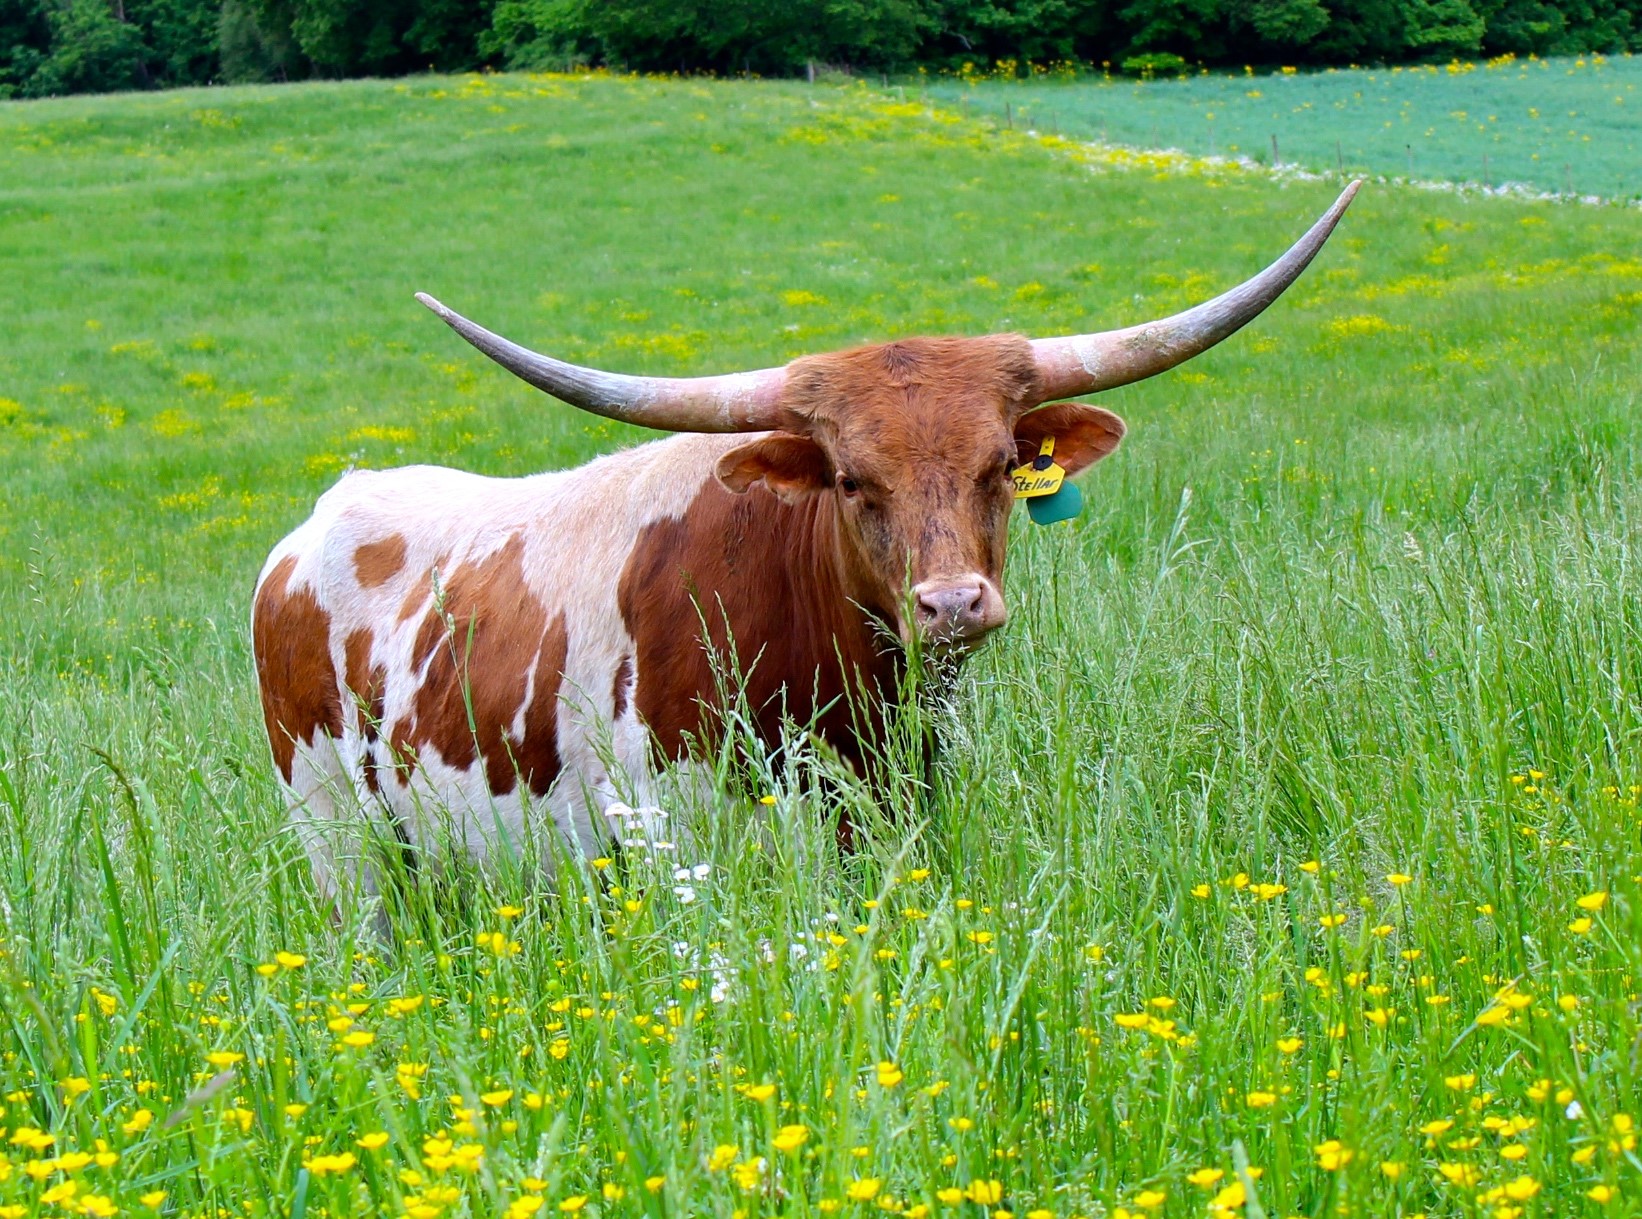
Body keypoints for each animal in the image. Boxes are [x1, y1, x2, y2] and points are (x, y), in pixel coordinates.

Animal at [253, 183, 1359, 910]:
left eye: (1002, 462)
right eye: (850, 479)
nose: (951, 604)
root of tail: (318, 521)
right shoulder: (679, 844)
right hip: (343, 851)